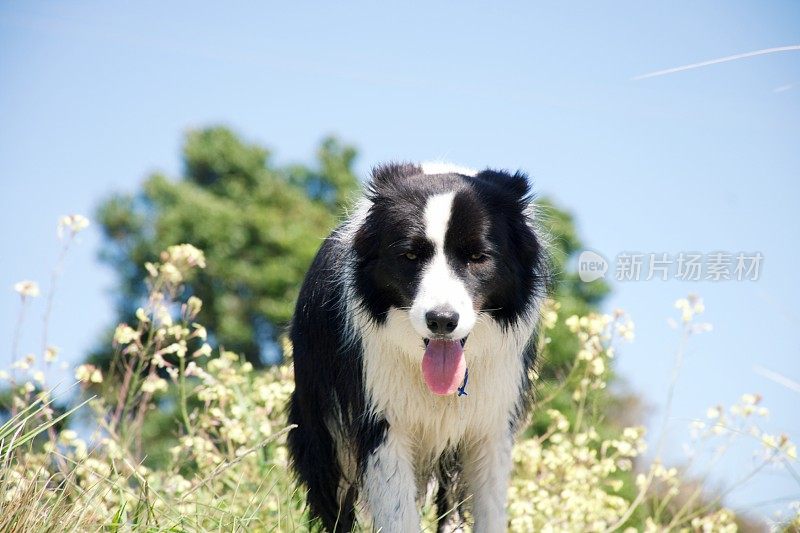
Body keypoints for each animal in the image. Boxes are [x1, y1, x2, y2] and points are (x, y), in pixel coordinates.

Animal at [286, 163, 544, 532]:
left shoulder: (492, 421)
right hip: (322, 424)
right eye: (409, 256)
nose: (442, 321)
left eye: (478, 257)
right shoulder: (381, 420)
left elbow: (490, 508)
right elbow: (397, 512)